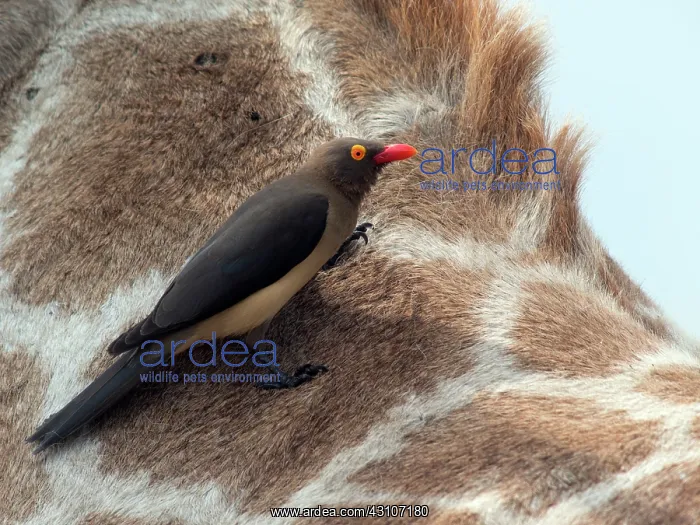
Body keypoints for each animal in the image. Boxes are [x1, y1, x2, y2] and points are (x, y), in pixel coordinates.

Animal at [1, 0, 699, 523]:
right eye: (363, 152)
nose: (400, 149)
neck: (322, 185)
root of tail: (151, 332)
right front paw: (293, 364)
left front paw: (346, 245)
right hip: (199, 313)